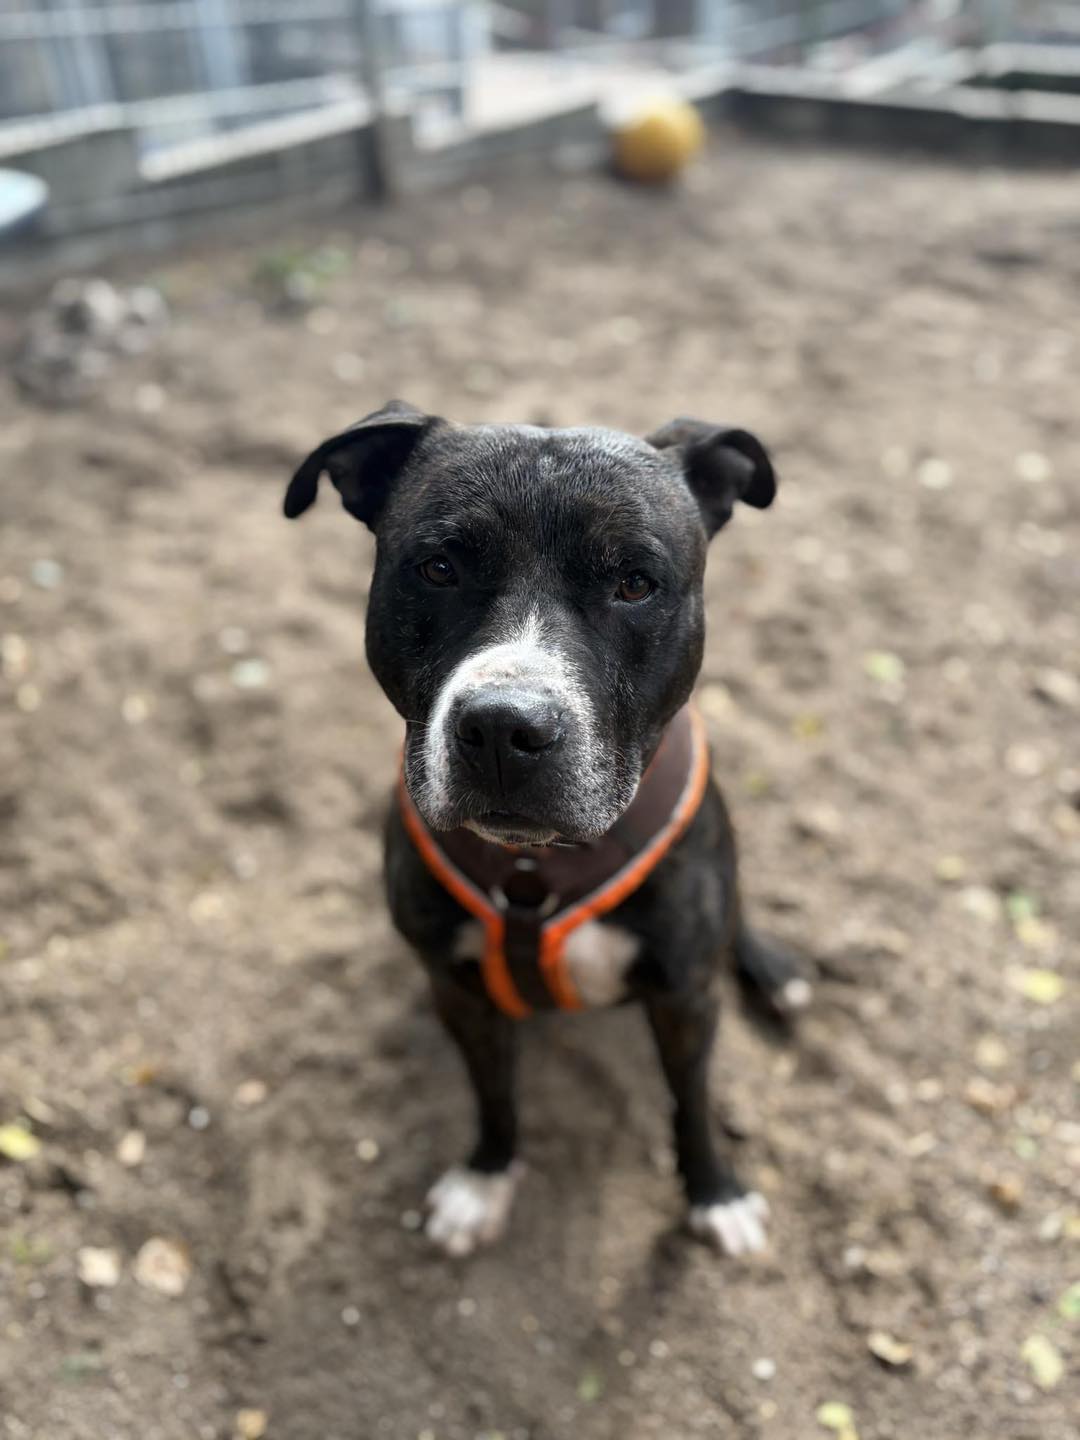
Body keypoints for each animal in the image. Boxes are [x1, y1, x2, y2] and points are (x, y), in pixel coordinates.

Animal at [284, 401, 808, 1258]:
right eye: (438, 568)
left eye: (635, 582)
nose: (503, 727)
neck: (538, 867)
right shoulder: (457, 991)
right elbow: (493, 1095)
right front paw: (485, 1179)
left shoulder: (687, 997)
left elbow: (690, 1103)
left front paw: (715, 1192)